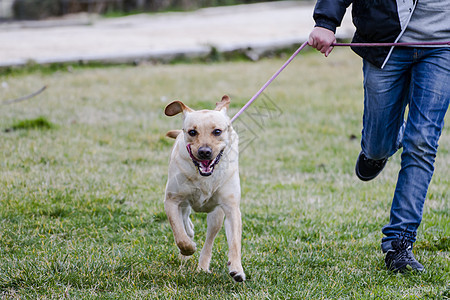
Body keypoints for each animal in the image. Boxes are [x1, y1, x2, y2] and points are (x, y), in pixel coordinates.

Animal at [163, 95, 244, 282]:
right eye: (192, 132)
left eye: (217, 131)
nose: (205, 152)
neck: (203, 176)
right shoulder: (171, 200)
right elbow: (179, 234)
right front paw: (188, 248)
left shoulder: (231, 207)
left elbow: (235, 242)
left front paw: (237, 269)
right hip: (183, 204)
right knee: (185, 221)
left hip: (216, 216)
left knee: (209, 240)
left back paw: (203, 267)